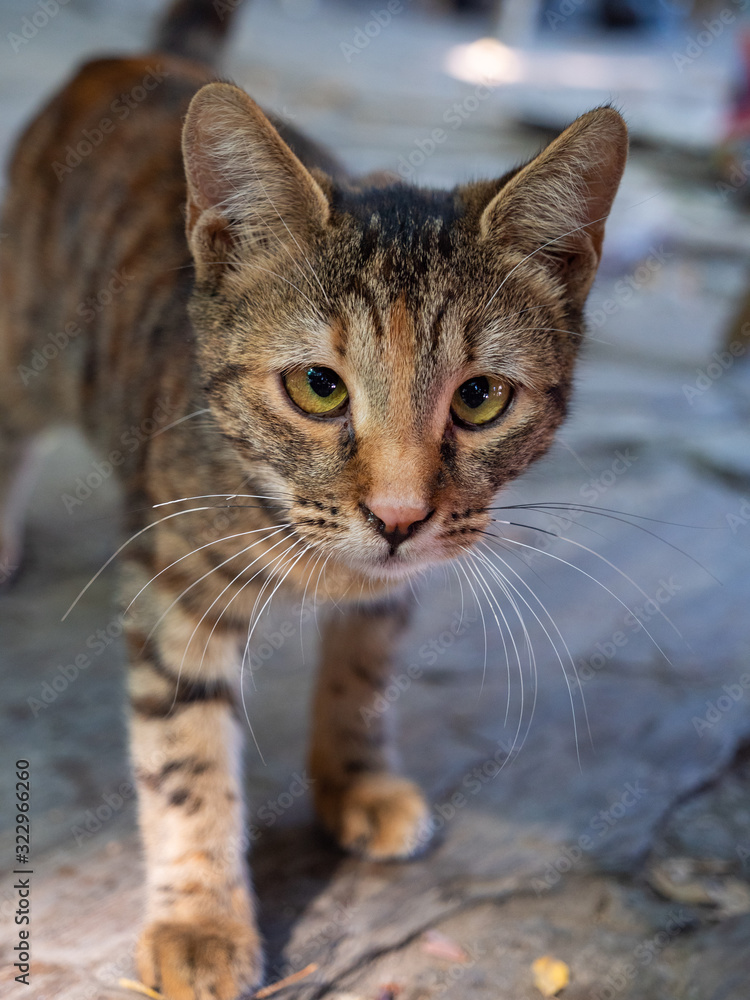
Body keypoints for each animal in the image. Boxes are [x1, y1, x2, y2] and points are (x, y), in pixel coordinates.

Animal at [0, 0, 628, 992]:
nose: (400, 518)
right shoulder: (171, 578)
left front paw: (354, 776)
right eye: (319, 388)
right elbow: (184, 755)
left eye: (480, 398)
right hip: (27, 344)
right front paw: (201, 917)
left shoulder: (396, 582)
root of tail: (139, 59)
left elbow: (363, 668)